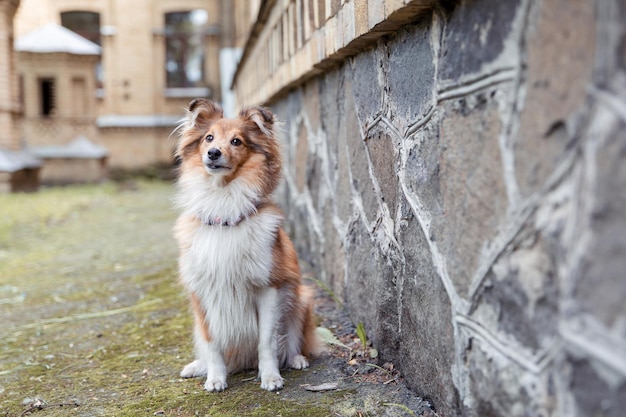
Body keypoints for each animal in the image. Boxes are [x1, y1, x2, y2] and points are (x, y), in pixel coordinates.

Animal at [172, 97, 316, 390]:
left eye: (237, 141)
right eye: (208, 138)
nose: (213, 153)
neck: (223, 207)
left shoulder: (269, 288)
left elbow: (266, 341)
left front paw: (271, 377)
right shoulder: (201, 294)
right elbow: (212, 343)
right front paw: (215, 379)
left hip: (302, 299)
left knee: (294, 342)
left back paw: (296, 359)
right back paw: (198, 366)